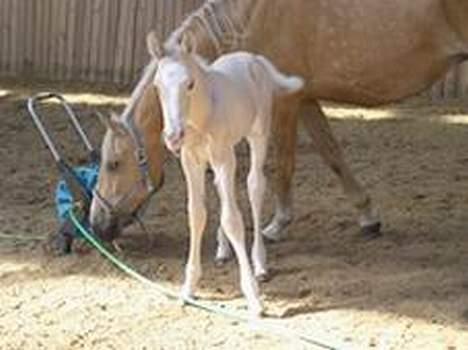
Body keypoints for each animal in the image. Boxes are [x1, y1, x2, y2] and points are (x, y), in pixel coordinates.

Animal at [89, 0, 468, 246]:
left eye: (113, 163)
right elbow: (332, 154)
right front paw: (368, 217)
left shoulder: (283, 102)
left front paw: (276, 226)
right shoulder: (305, 98)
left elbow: (282, 162)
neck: (250, 17)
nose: (96, 224)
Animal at [148, 33, 306, 318]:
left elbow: (233, 219)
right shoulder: (191, 160)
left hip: (257, 135)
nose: (173, 137)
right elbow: (196, 214)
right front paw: (188, 288)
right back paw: (222, 249)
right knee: (222, 190)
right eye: (157, 86)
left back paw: (260, 263)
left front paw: (254, 298)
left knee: (255, 186)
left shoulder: (223, 156)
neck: (202, 116)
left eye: (190, 83)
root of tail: (254, 59)